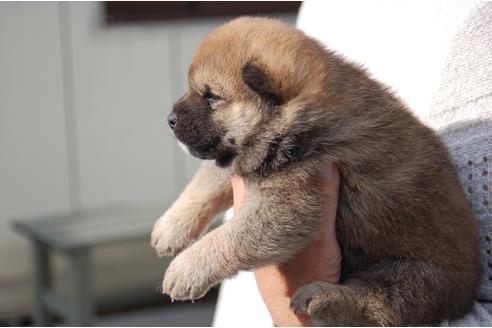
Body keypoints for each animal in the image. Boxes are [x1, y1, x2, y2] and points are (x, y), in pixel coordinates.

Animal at [151, 17, 480, 326]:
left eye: (212, 96)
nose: (169, 118)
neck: (300, 120)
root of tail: (467, 292)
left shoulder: (290, 203)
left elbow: (230, 236)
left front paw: (184, 269)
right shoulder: (240, 160)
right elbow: (206, 183)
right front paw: (170, 227)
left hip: (414, 276)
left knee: (381, 307)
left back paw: (321, 299)